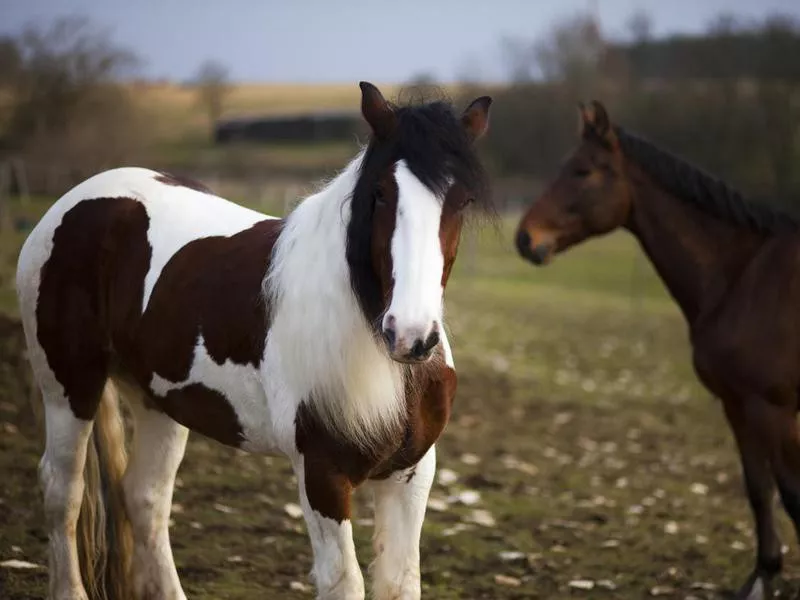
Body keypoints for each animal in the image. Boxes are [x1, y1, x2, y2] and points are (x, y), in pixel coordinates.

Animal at [17, 83, 494, 600]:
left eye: (462, 200)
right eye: (381, 194)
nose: (411, 335)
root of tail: (78, 199)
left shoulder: (411, 474)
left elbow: (402, 582)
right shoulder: (322, 474)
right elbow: (343, 582)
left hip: (157, 401)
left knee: (145, 498)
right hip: (69, 387)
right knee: (63, 491)